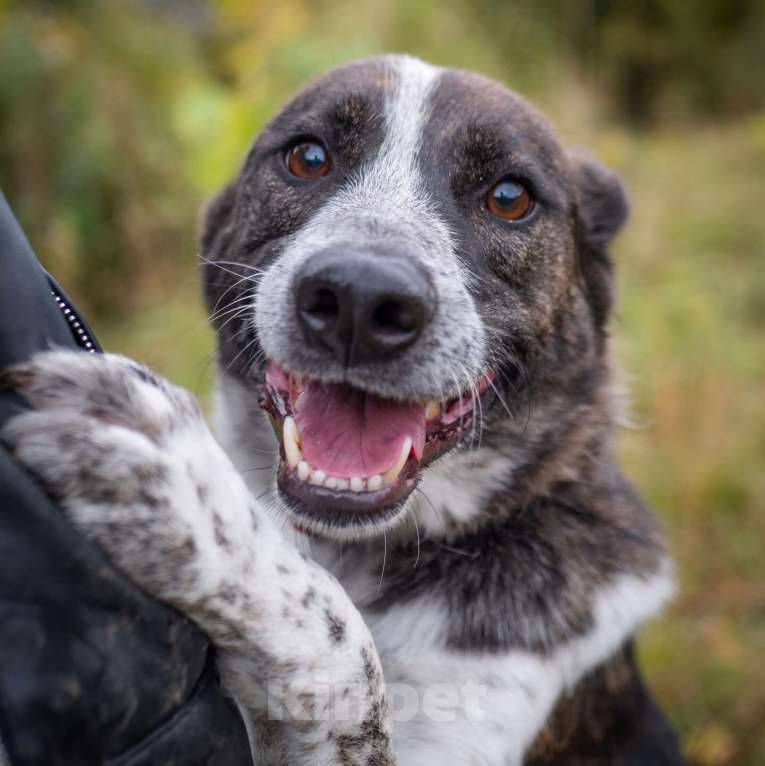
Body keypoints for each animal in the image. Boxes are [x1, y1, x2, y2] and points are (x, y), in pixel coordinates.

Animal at [1, 57, 680, 764]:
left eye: (510, 197)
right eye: (308, 157)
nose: (361, 296)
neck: (356, 551)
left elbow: (344, 649)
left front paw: (194, 500)